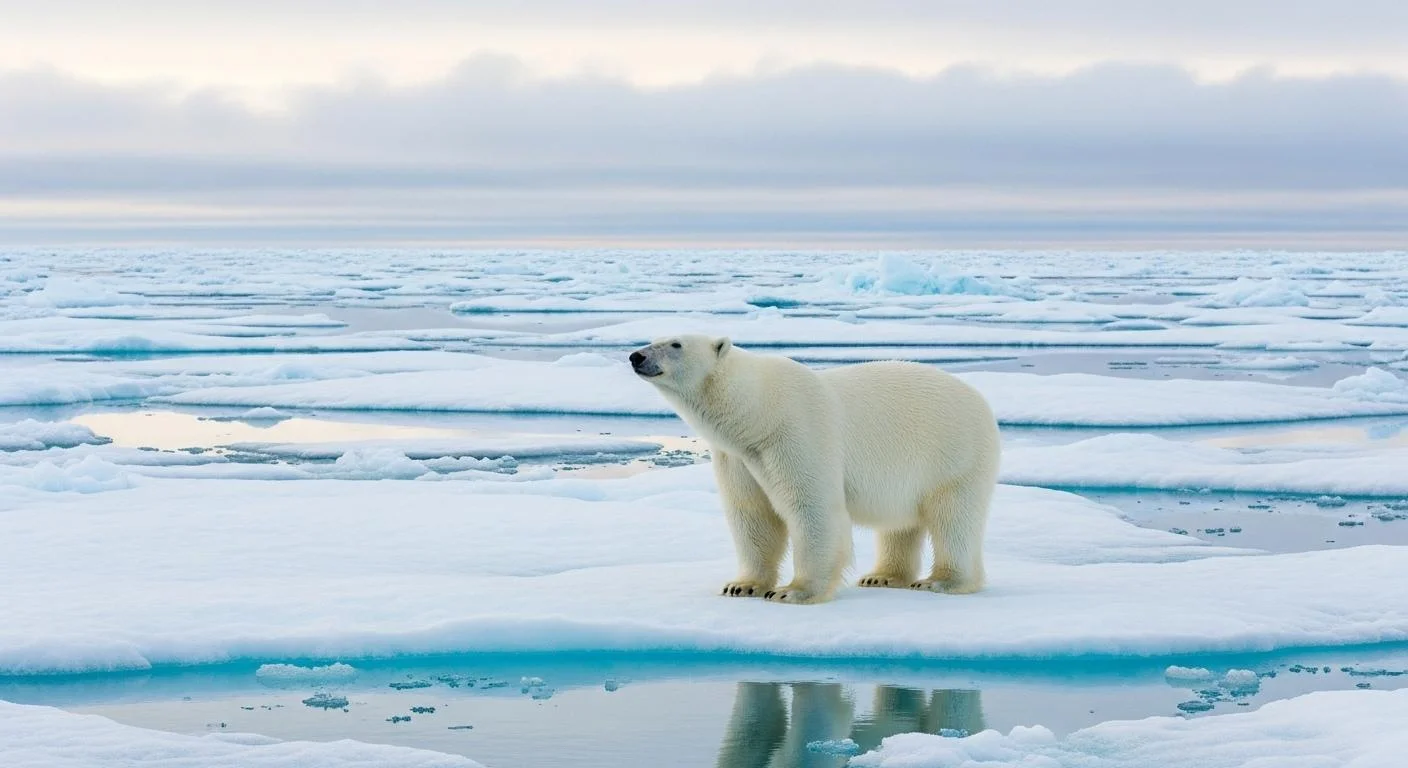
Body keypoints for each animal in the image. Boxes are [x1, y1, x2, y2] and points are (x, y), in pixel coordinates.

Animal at [630, 334, 1000, 605]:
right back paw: (881, 576)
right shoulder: (738, 456)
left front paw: (792, 591)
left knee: (954, 515)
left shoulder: (797, 433)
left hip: (954, 453)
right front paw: (741, 585)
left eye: (676, 344)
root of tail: (982, 402)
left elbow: (811, 507)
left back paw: (942, 581)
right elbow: (752, 513)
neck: (759, 412)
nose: (636, 356)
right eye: (655, 338)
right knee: (900, 523)